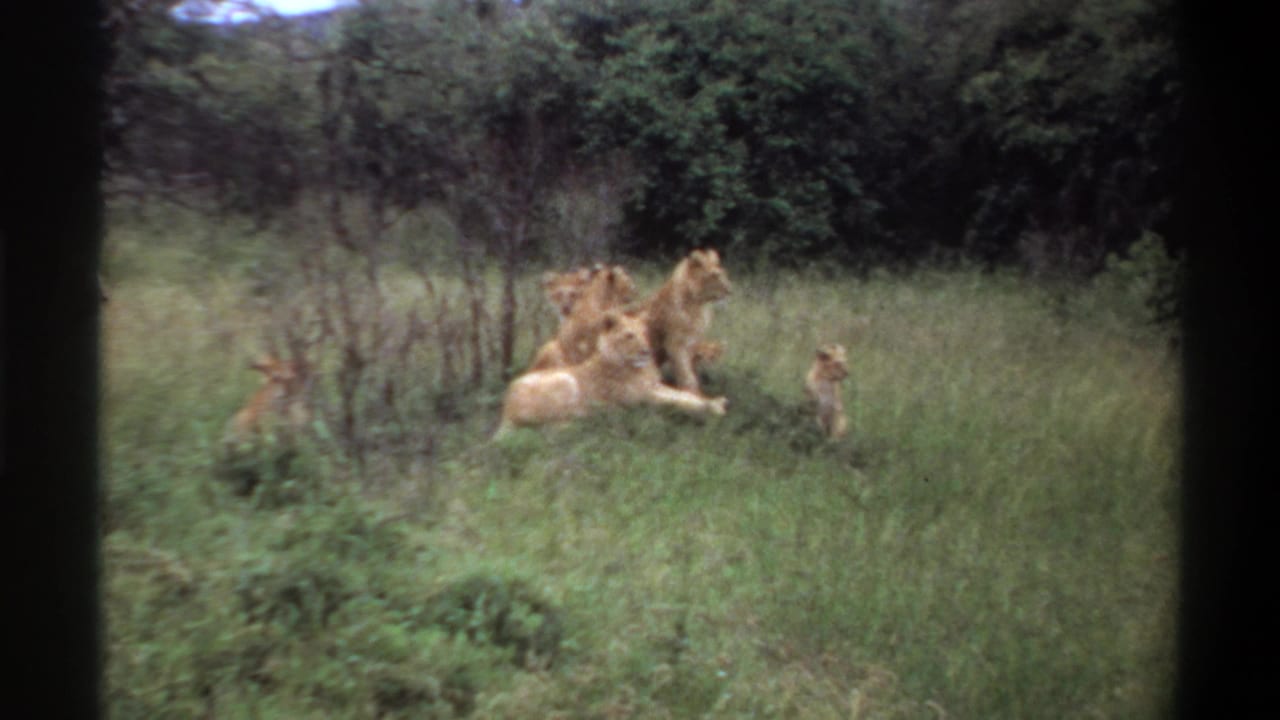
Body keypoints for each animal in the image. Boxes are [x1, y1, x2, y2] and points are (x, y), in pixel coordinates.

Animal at [496, 310, 728, 437]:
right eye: (629, 336)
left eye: (644, 334)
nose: (646, 351)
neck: (639, 367)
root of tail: (505, 408)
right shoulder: (642, 397)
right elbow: (677, 401)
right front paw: (711, 408)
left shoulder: (654, 386)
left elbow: (684, 395)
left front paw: (714, 402)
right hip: (565, 380)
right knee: (547, 426)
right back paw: (590, 418)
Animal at [636, 248, 731, 394]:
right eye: (714, 276)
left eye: (723, 273)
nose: (729, 291)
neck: (699, 305)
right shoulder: (675, 344)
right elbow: (685, 372)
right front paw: (692, 392)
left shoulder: (692, 343)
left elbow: (690, 369)